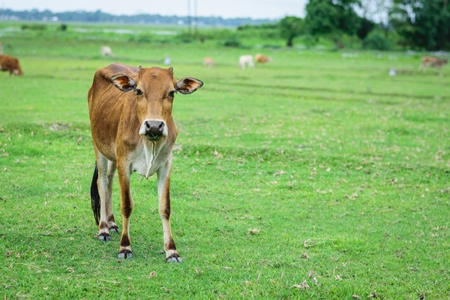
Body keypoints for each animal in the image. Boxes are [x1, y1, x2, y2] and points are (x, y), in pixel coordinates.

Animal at [88, 63, 204, 260]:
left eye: (171, 92)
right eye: (139, 90)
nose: (154, 126)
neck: (150, 143)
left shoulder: (165, 165)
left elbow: (165, 207)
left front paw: (171, 250)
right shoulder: (124, 163)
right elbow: (127, 205)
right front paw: (125, 247)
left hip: (112, 156)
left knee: (109, 182)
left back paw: (111, 223)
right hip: (99, 148)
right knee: (102, 182)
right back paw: (103, 229)